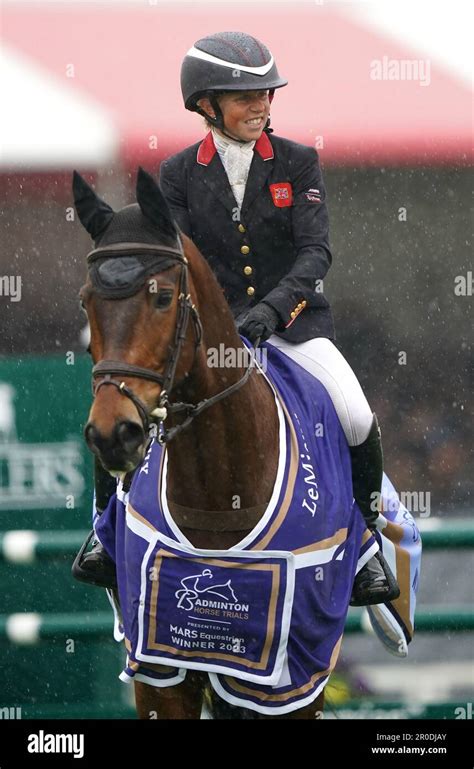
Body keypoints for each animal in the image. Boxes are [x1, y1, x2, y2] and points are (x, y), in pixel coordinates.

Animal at [74, 168, 326, 720]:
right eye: (86, 300)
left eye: (163, 297)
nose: (113, 433)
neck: (219, 492)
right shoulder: (160, 668)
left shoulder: (292, 677)